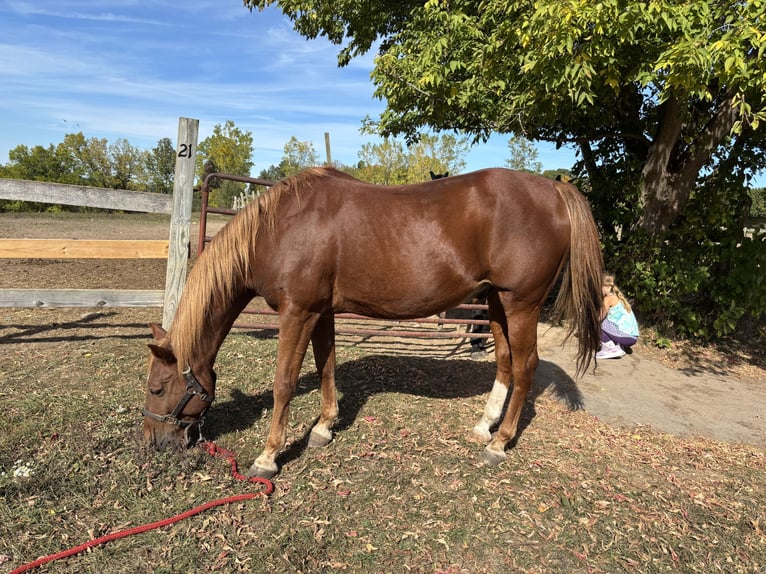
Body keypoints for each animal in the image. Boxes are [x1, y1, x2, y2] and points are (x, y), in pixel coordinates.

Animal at [142, 167, 603, 479]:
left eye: (158, 388)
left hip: (520, 304)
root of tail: (554, 189)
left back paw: (500, 443)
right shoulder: (322, 312)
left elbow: (284, 383)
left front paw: (268, 456)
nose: (152, 441)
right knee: (505, 362)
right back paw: (484, 427)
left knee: (524, 366)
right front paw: (324, 427)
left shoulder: (297, 312)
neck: (282, 226)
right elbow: (326, 366)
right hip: (494, 303)